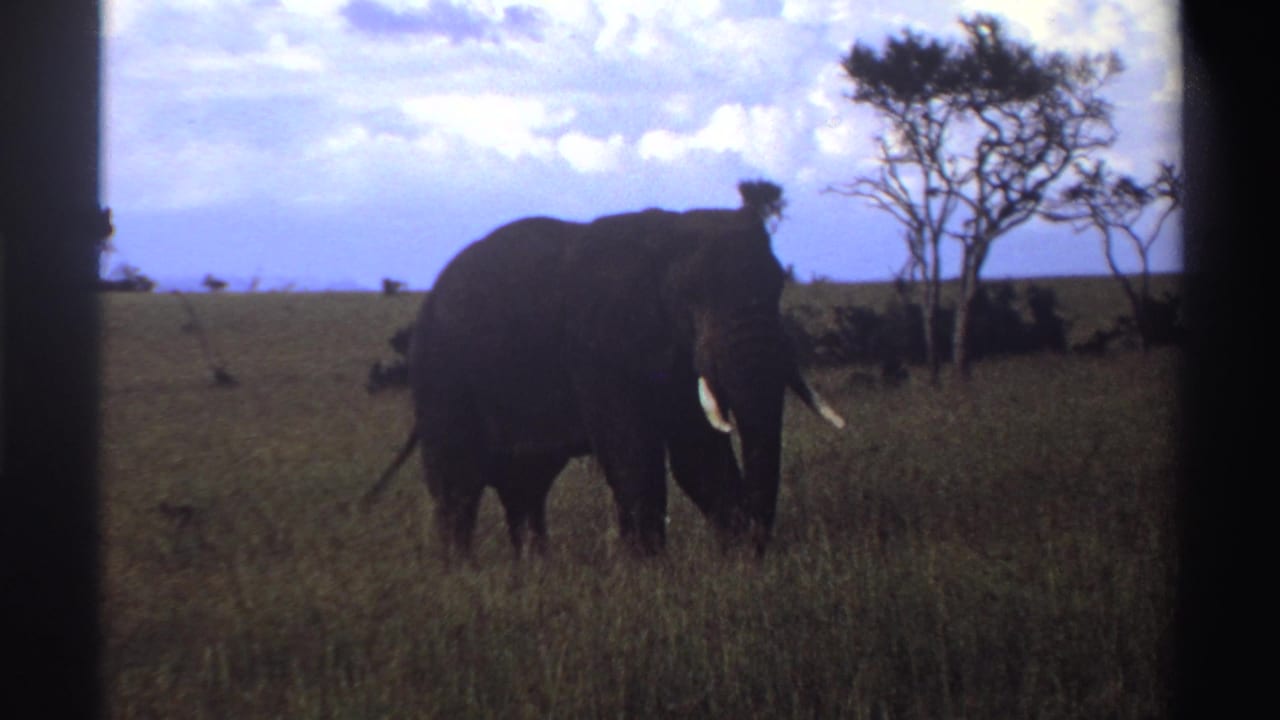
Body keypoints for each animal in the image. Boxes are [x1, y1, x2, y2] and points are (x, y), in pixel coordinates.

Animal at [363, 192, 845, 560]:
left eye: (778, 286)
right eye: (692, 297)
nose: (761, 546)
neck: (667, 235)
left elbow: (698, 456)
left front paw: (737, 559)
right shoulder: (599, 344)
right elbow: (632, 452)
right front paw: (649, 573)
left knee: (525, 484)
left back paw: (533, 572)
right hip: (442, 376)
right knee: (458, 484)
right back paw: (462, 576)